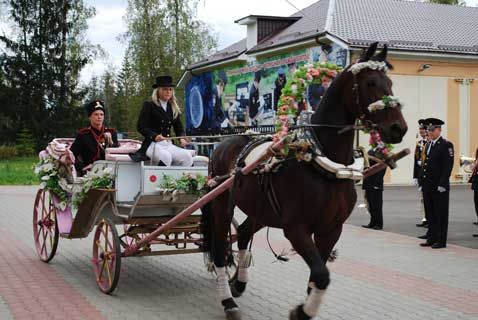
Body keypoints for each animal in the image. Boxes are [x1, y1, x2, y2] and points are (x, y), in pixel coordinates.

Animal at [202, 43, 408, 320]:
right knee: (219, 252)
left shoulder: (331, 229)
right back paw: (228, 301)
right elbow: (321, 274)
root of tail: (222, 145)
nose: (398, 128)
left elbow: (316, 278)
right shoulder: (296, 229)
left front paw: (304, 310)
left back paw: (239, 282)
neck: (323, 165)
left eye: (391, 82)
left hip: (261, 209)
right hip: (222, 205)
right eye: (370, 83)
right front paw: (301, 311)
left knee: (243, 232)